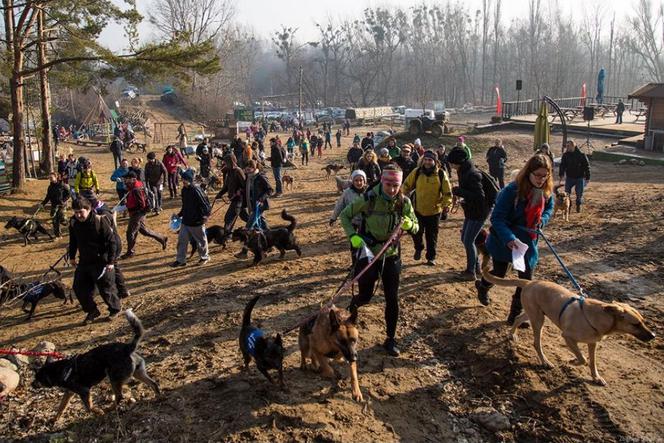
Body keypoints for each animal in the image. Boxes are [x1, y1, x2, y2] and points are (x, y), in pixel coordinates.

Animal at [32, 308, 161, 424]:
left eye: (37, 378)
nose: (31, 385)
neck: (59, 370)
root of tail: (127, 348)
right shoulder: (69, 393)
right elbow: (61, 407)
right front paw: (54, 419)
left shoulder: (84, 391)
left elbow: (89, 408)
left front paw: (99, 412)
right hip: (138, 373)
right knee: (153, 383)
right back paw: (158, 397)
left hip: (113, 378)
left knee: (119, 396)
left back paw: (108, 409)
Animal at [480, 251, 656, 386]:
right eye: (635, 324)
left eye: (643, 321)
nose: (653, 336)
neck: (599, 316)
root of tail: (530, 282)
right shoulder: (568, 337)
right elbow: (583, 358)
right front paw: (573, 361)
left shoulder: (592, 344)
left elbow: (592, 362)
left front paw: (596, 377)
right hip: (538, 320)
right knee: (536, 343)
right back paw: (545, 361)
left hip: (534, 313)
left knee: (517, 318)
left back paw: (512, 335)